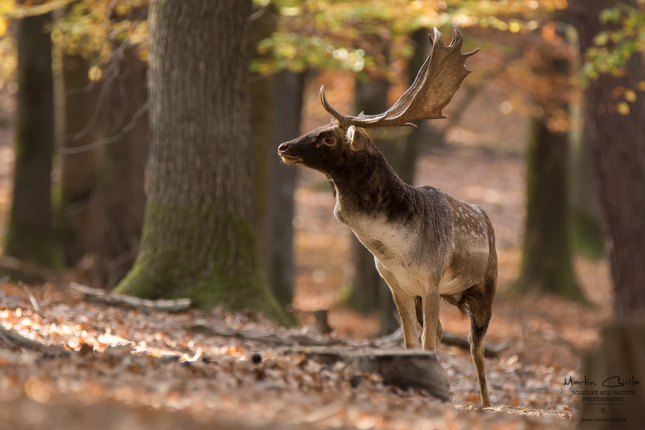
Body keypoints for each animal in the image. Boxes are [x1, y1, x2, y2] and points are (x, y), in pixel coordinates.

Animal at [276, 24, 494, 406]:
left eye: (328, 138)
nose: (284, 147)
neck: (395, 248)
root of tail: (486, 217)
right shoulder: (397, 285)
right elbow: (410, 342)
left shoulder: (431, 280)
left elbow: (428, 342)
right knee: (446, 334)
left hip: (486, 288)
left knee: (475, 347)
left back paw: (486, 403)